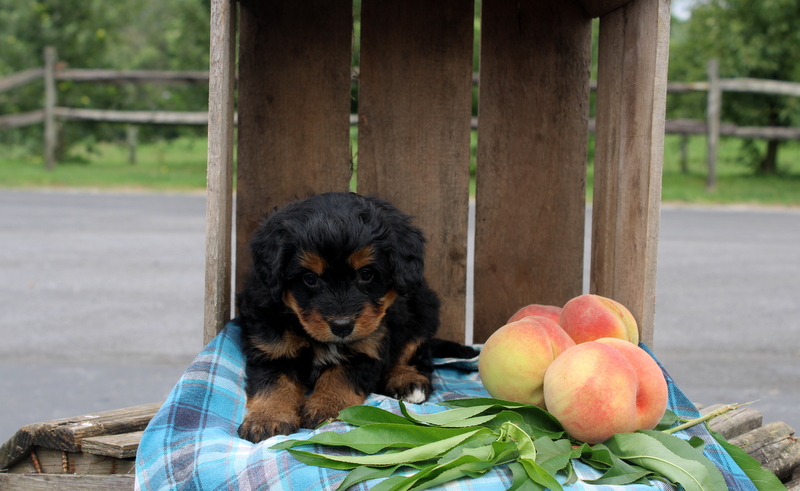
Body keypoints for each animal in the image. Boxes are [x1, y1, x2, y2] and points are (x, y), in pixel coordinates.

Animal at [238, 191, 476, 442]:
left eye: (366, 274)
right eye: (309, 278)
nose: (342, 326)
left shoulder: (368, 345)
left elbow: (341, 376)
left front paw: (327, 405)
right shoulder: (271, 345)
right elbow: (273, 383)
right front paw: (268, 418)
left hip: (423, 309)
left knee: (414, 352)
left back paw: (407, 380)